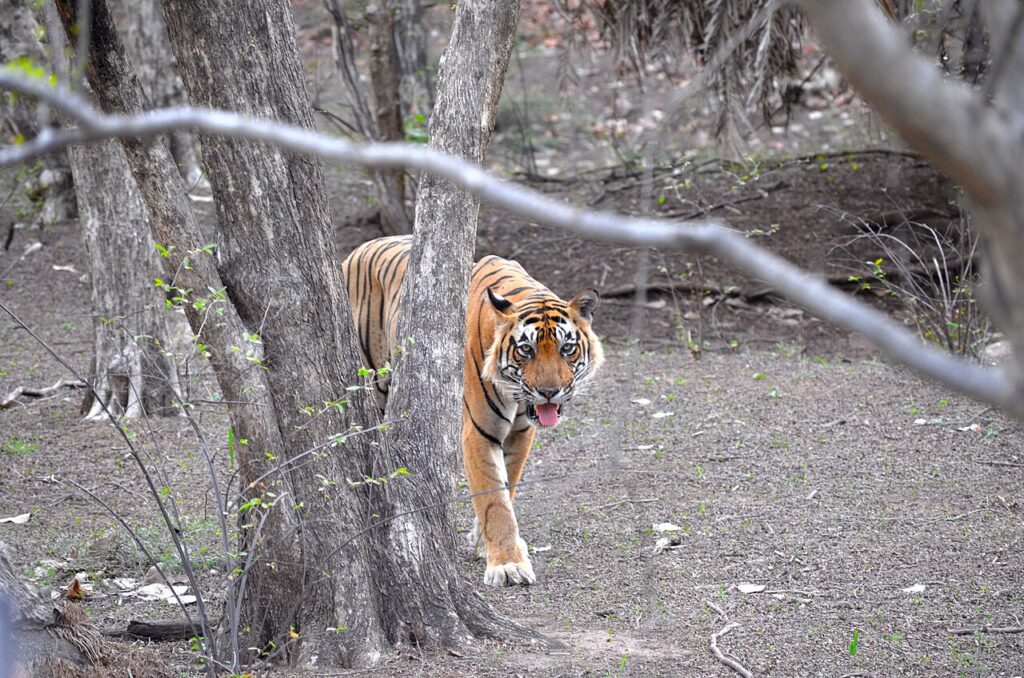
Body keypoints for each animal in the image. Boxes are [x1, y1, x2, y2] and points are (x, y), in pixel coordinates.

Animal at [342, 235, 604, 586]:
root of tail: (358, 249)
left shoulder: (521, 433)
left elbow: (508, 484)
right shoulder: (480, 432)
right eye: (526, 350)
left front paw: (483, 541)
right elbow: (493, 499)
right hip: (374, 383)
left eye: (567, 348)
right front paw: (507, 564)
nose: (549, 392)